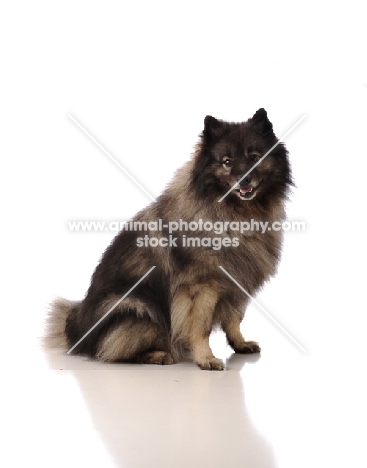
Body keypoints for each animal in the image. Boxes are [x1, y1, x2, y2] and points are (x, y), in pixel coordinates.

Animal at [46, 109, 294, 370]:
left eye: (254, 157)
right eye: (227, 161)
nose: (244, 178)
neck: (236, 213)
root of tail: (75, 333)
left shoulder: (237, 281)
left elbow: (234, 318)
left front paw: (240, 344)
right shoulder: (202, 287)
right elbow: (201, 326)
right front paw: (205, 358)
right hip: (137, 307)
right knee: (113, 351)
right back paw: (157, 355)